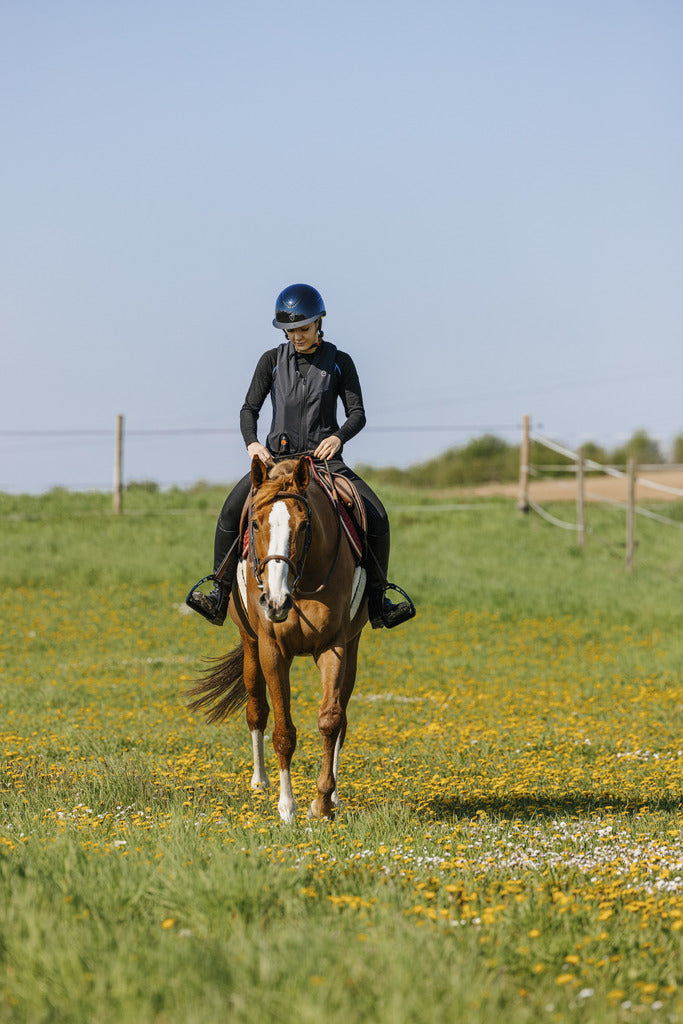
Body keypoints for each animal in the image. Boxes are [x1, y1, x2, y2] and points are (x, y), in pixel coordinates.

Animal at [185, 458, 368, 823]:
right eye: (255, 524)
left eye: (304, 525)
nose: (275, 601)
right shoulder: (272, 651)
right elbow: (283, 731)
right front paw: (287, 806)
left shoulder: (335, 646)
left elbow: (330, 720)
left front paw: (322, 802)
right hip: (251, 646)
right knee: (256, 710)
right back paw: (260, 781)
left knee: (341, 718)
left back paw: (335, 796)